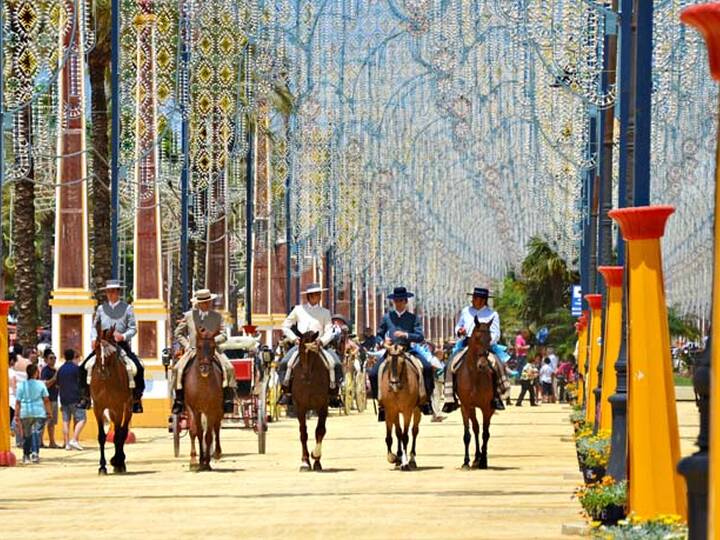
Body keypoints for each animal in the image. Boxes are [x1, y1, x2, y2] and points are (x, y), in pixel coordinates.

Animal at [90, 324, 133, 472]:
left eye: (112, 351)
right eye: (97, 347)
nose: (103, 371)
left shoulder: (118, 407)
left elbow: (118, 436)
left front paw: (117, 462)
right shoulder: (98, 408)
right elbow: (102, 437)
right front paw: (102, 466)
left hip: (127, 407)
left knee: (123, 432)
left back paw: (120, 461)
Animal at [184, 326, 224, 470]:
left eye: (213, 346)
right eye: (199, 346)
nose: (204, 368)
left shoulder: (211, 409)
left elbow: (208, 435)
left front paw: (206, 461)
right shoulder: (193, 409)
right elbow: (196, 432)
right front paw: (196, 460)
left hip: (217, 410)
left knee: (216, 428)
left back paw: (216, 453)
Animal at [290, 326, 330, 470]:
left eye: (313, 352)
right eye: (300, 351)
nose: (305, 375)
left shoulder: (323, 406)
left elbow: (320, 431)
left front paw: (316, 457)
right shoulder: (300, 407)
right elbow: (303, 433)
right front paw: (305, 461)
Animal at [456, 316, 496, 468]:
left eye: (490, 338)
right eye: (477, 338)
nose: (483, 365)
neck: (474, 376)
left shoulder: (486, 407)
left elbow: (486, 433)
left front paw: (484, 461)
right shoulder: (465, 406)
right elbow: (468, 434)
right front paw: (466, 461)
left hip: (490, 408)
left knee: (485, 431)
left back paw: (481, 458)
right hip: (471, 408)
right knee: (476, 428)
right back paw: (476, 458)